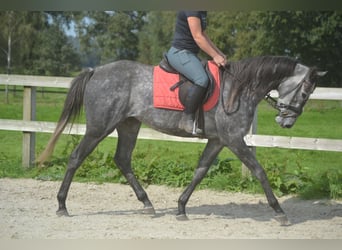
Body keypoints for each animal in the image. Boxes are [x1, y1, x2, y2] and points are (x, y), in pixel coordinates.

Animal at [37, 55, 326, 226]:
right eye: (305, 92)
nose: (287, 122)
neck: (238, 89)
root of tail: (95, 71)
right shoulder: (234, 139)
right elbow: (259, 171)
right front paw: (279, 212)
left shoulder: (218, 141)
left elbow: (200, 171)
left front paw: (181, 207)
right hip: (99, 127)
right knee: (77, 157)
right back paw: (62, 205)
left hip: (129, 125)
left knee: (122, 160)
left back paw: (147, 204)